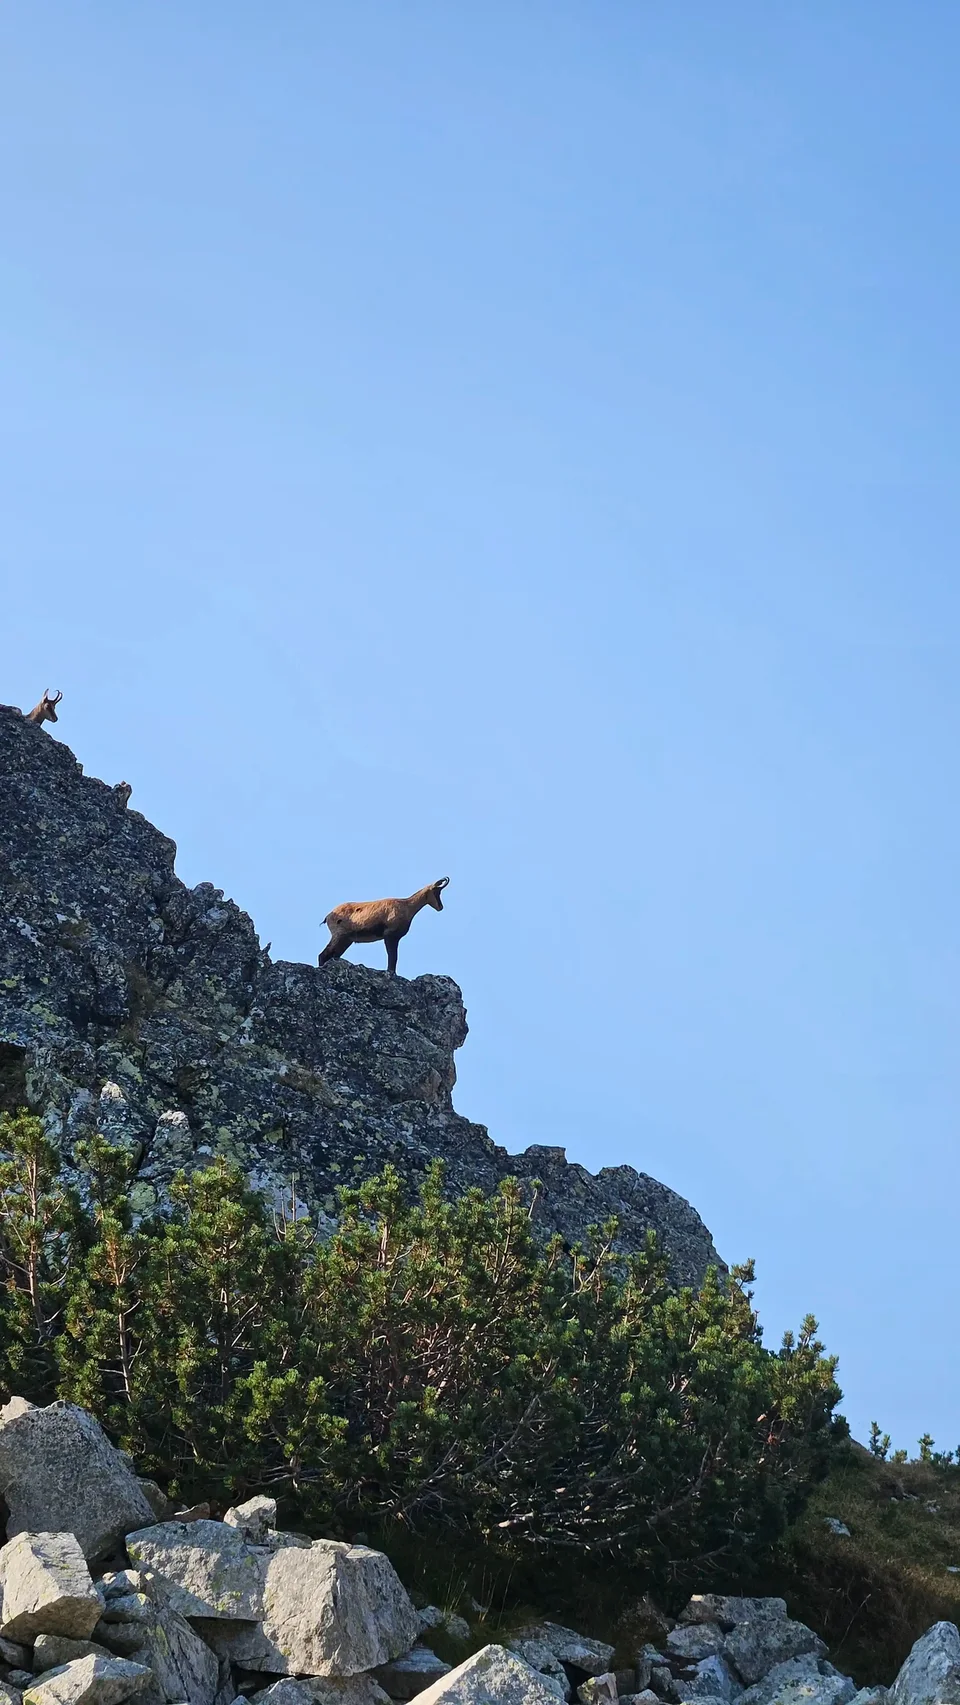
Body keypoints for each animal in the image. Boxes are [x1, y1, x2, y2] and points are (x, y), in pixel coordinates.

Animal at [319, 878, 450, 978]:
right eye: (436, 892)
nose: (440, 907)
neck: (406, 906)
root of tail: (328, 916)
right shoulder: (389, 936)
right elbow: (393, 956)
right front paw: (391, 973)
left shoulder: (395, 938)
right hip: (339, 935)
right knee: (323, 954)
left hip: (346, 940)